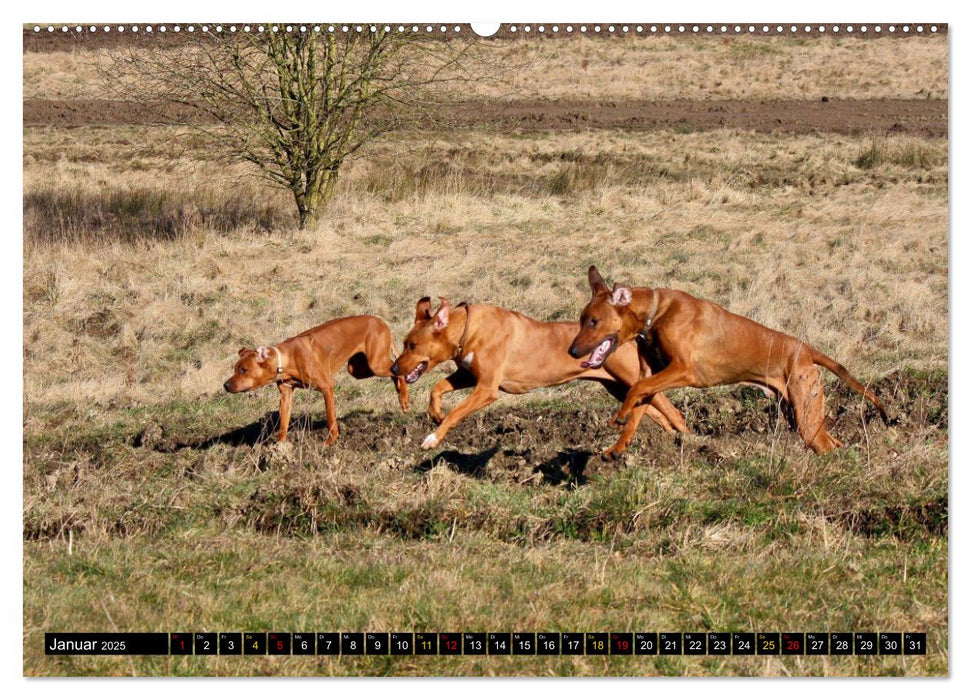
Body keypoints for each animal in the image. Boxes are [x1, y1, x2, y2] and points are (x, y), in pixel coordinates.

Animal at [225, 316, 410, 442]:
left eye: (243, 370)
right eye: (235, 369)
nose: (225, 385)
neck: (286, 359)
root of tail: (380, 320)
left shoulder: (327, 387)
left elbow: (330, 418)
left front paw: (330, 442)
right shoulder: (286, 396)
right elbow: (283, 423)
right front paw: (279, 447)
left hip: (375, 364)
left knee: (397, 370)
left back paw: (404, 399)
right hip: (358, 369)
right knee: (393, 372)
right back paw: (400, 392)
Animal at [392, 298, 688, 456]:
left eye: (412, 345)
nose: (394, 369)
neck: (467, 328)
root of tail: (624, 334)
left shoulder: (486, 388)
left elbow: (456, 413)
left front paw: (433, 437)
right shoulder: (469, 375)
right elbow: (437, 388)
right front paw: (435, 413)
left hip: (630, 380)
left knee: (674, 413)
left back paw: (686, 442)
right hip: (618, 387)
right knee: (658, 414)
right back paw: (665, 442)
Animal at [568, 266, 888, 456]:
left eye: (594, 321)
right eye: (582, 320)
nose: (572, 351)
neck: (656, 314)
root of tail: (806, 350)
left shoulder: (683, 369)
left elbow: (636, 389)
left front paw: (618, 416)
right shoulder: (652, 374)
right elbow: (639, 403)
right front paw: (618, 445)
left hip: (805, 414)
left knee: (825, 445)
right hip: (798, 413)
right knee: (831, 440)